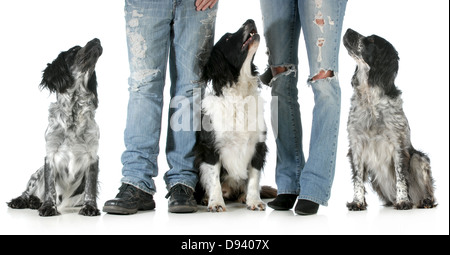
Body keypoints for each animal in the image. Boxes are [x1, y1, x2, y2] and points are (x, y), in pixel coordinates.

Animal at [7, 38, 103, 217]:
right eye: (74, 50)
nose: (96, 39)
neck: (74, 112)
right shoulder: (50, 155)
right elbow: (50, 188)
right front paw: (48, 206)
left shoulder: (93, 156)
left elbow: (90, 187)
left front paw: (90, 207)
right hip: (36, 173)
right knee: (28, 191)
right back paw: (25, 200)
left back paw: (35, 202)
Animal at [193, 19, 274, 211]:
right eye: (228, 38)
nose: (250, 20)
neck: (240, 95)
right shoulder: (210, 147)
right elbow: (213, 177)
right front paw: (215, 202)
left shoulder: (258, 145)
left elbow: (254, 178)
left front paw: (254, 200)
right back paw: (206, 198)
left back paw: (243, 196)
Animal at [344, 28, 436, 210]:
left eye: (371, 40)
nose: (348, 30)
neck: (370, 97)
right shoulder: (356, 144)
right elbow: (357, 178)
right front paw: (357, 202)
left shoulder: (398, 143)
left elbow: (401, 176)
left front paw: (403, 201)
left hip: (418, 159)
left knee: (428, 191)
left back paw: (425, 201)